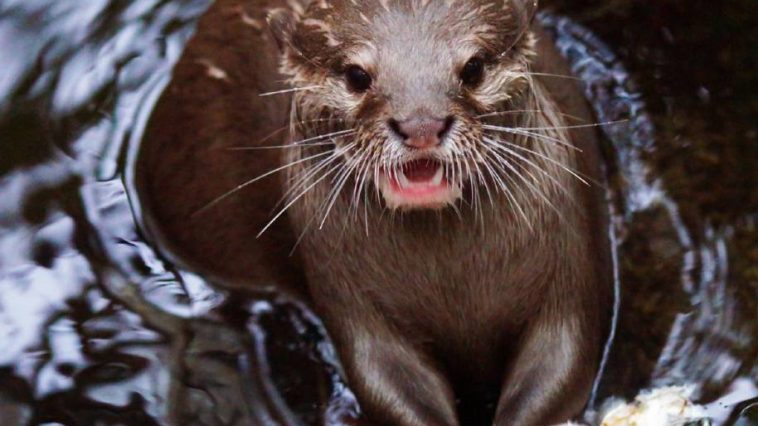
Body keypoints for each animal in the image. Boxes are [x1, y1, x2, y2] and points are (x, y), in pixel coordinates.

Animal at [135, 0, 612, 425]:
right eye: (356, 75)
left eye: (474, 68)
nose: (421, 124)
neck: (454, 285)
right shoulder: (354, 304)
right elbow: (385, 378)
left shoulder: (566, 275)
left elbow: (562, 365)